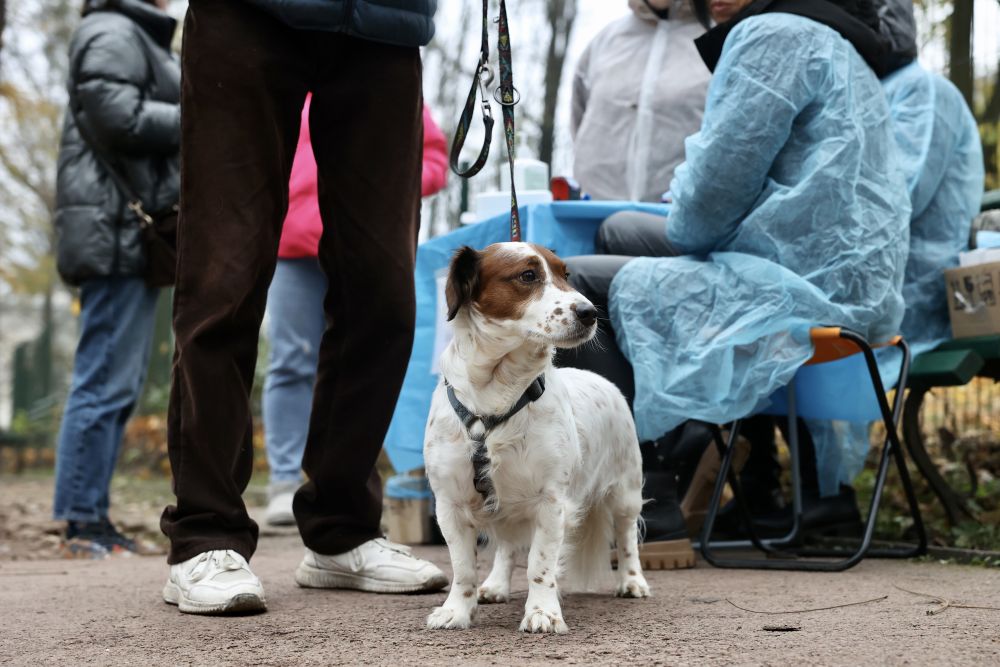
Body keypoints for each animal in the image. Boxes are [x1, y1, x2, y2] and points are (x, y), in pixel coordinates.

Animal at [422, 241, 648, 636]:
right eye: (528, 275)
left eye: (565, 274)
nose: (590, 313)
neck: (496, 393)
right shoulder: (449, 504)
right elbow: (463, 568)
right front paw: (456, 611)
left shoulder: (551, 502)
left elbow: (540, 566)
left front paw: (543, 612)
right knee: (507, 547)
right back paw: (496, 585)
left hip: (625, 491)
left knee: (625, 536)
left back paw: (632, 581)